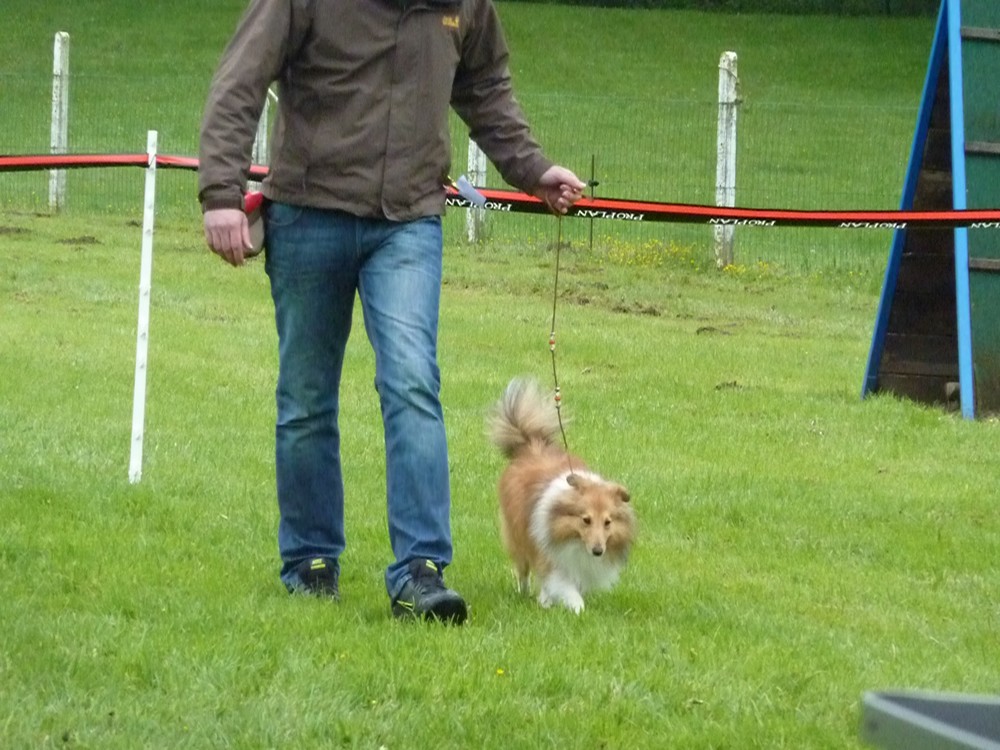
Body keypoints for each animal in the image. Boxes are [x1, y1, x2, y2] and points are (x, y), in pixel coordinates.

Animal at [488, 378, 636, 612]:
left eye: (608, 522)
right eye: (586, 520)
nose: (598, 551)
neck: (574, 540)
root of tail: (531, 443)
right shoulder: (550, 557)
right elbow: (564, 586)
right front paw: (577, 608)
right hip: (518, 536)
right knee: (523, 569)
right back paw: (526, 593)